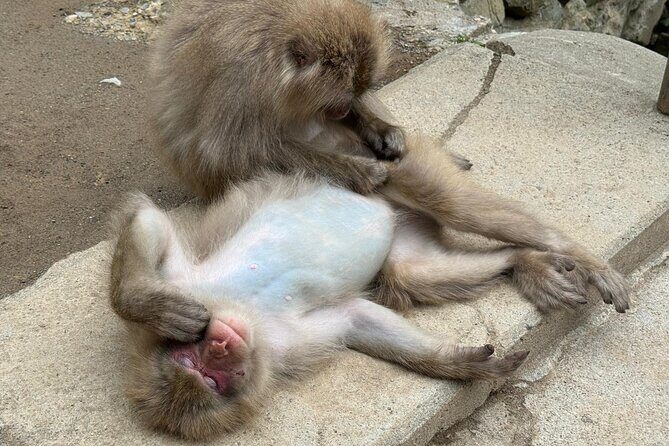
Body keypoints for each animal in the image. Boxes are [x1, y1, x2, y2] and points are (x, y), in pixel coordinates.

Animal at [109, 135, 629, 440]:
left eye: (202, 361)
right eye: (208, 375)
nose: (221, 345)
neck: (244, 311)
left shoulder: (187, 284)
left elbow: (148, 222)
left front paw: (148, 307)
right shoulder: (280, 343)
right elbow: (357, 320)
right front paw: (459, 364)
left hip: (401, 168)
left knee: (457, 207)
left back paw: (576, 254)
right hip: (406, 232)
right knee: (412, 273)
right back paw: (522, 261)